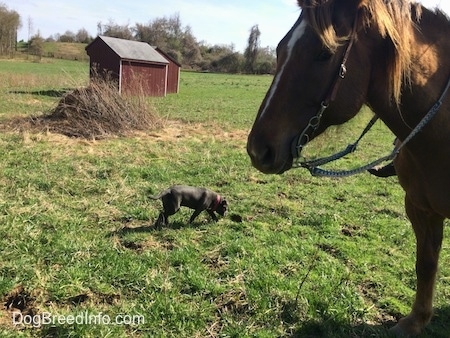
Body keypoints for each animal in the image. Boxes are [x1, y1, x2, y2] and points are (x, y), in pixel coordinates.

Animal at [246, 0, 450, 336]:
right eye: (280, 49)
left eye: (324, 53)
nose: (257, 149)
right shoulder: (420, 208)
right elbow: (426, 263)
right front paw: (416, 320)